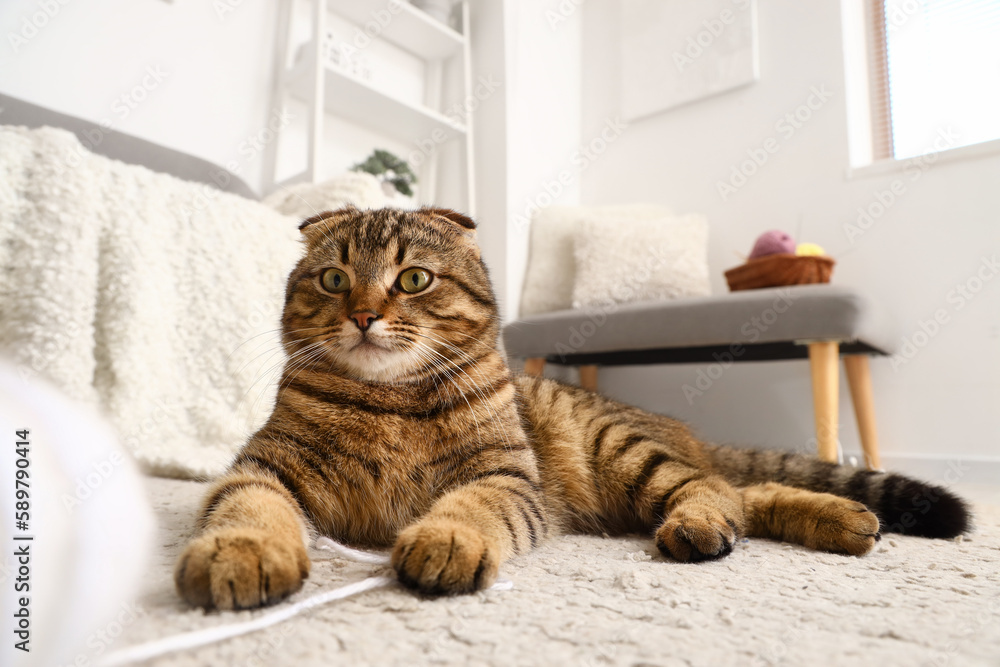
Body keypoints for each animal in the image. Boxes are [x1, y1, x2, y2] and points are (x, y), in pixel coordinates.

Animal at [176, 207, 972, 612]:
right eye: (335, 279)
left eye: (413, 279)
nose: (365, 314)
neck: (386, 399)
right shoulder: (265, 467)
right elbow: (248, 508)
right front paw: (243, 552)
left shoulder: (505, 477)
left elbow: (469, 508)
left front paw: (447, 539)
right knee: (750, 491)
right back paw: (846, 521)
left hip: (625, 454)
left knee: (718, 489)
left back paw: (719, 523)